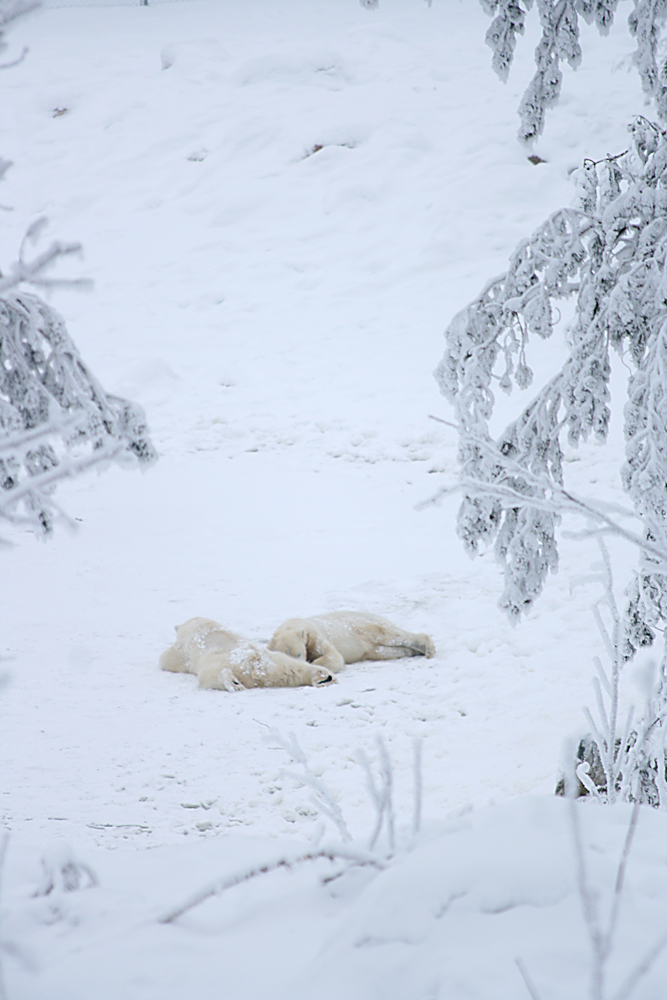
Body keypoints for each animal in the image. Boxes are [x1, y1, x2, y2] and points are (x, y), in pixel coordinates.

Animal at [159, 617, 335, 691]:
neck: (199, 624)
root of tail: (255, 667)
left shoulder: (185, 647)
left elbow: (167, 658)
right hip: (275, 660)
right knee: (293, 668)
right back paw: (323, 676)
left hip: (218, 661)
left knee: (211, 674)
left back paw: (234, 684)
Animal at [267, 610, 436, 673]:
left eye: (298, 654)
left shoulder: (315, 636)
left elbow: (333, 656)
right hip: (373, 649)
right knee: (386, 650)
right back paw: (413, 651)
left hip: (366, 626)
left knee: (392, 635)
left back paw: (428, 648)